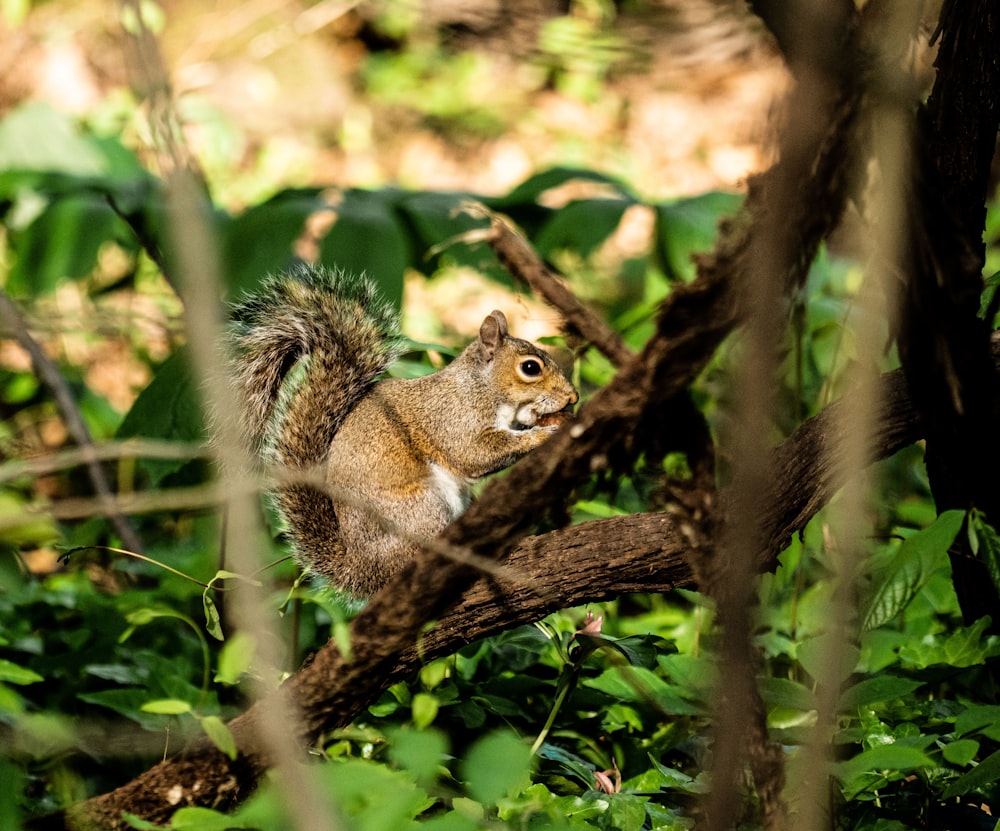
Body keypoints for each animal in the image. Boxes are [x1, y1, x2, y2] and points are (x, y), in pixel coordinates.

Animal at [222, 264, 576, 596]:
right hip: (420, 510)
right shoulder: (451, 418)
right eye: (530, 367)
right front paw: (541, 435)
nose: (573, 397)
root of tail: (361, 572)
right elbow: (475, 454)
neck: (480, 387)